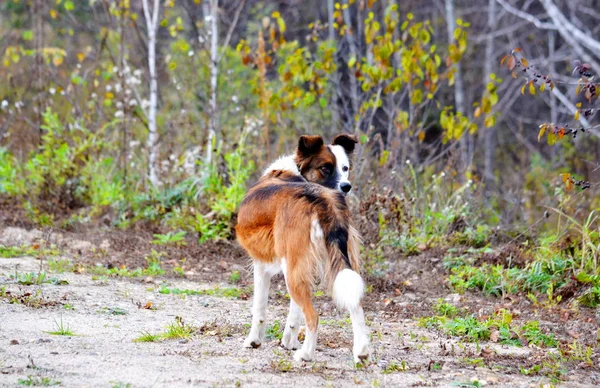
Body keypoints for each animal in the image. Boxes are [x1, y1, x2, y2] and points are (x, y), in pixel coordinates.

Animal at [236, 134, 370, 364]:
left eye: (345, 168)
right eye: (326, 167)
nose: (346, 186)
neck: (296, 172)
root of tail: (322, 198)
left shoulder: (261, 265)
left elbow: (259, 309)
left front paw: (254, 341)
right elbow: (294, 314)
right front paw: (288, 342)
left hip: (293, 271)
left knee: (314, 316)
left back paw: (306, 354)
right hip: (339, 265)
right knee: (356, 305)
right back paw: (360, 352)